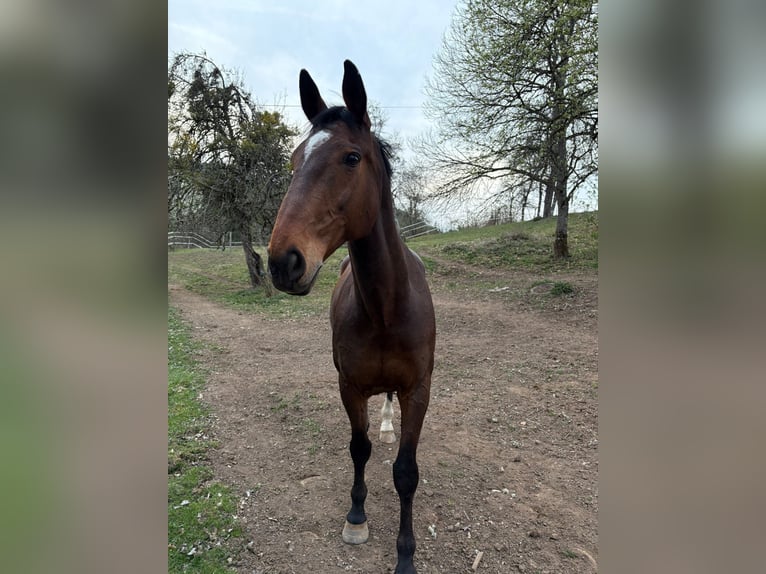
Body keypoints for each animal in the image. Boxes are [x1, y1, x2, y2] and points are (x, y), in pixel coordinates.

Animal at [267, 60, 436, 574]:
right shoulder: (349, 385)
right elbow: (358, 449)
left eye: (351, 158)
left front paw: (405, 555)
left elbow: (406, 472)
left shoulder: (419, 390)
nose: (283, 262)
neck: (385, 309)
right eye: (295, 160)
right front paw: (357, 517)